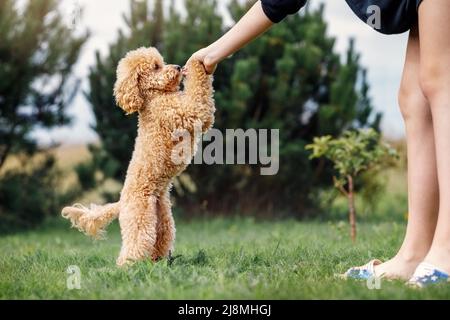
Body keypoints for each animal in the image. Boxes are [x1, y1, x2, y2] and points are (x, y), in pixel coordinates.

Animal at [61, 47, 214, 266]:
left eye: (162, 62)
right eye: (156, 67)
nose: (177, 67)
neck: (154, 97)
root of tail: (121, 202)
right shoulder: (186, 111)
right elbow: (199, 96)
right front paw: (196, 63)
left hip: (163, 220)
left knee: (159, 242)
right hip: (140, 217)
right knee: (134, 246)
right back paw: (126, 267)